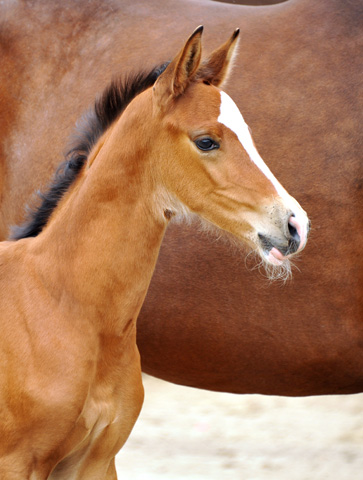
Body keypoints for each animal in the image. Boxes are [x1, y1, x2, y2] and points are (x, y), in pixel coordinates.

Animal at [0, 28, 308, 478]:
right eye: (206, 141)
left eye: (249, 136)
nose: (295, 225)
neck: (63, 305)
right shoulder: (18, 461)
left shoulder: (97, 460)